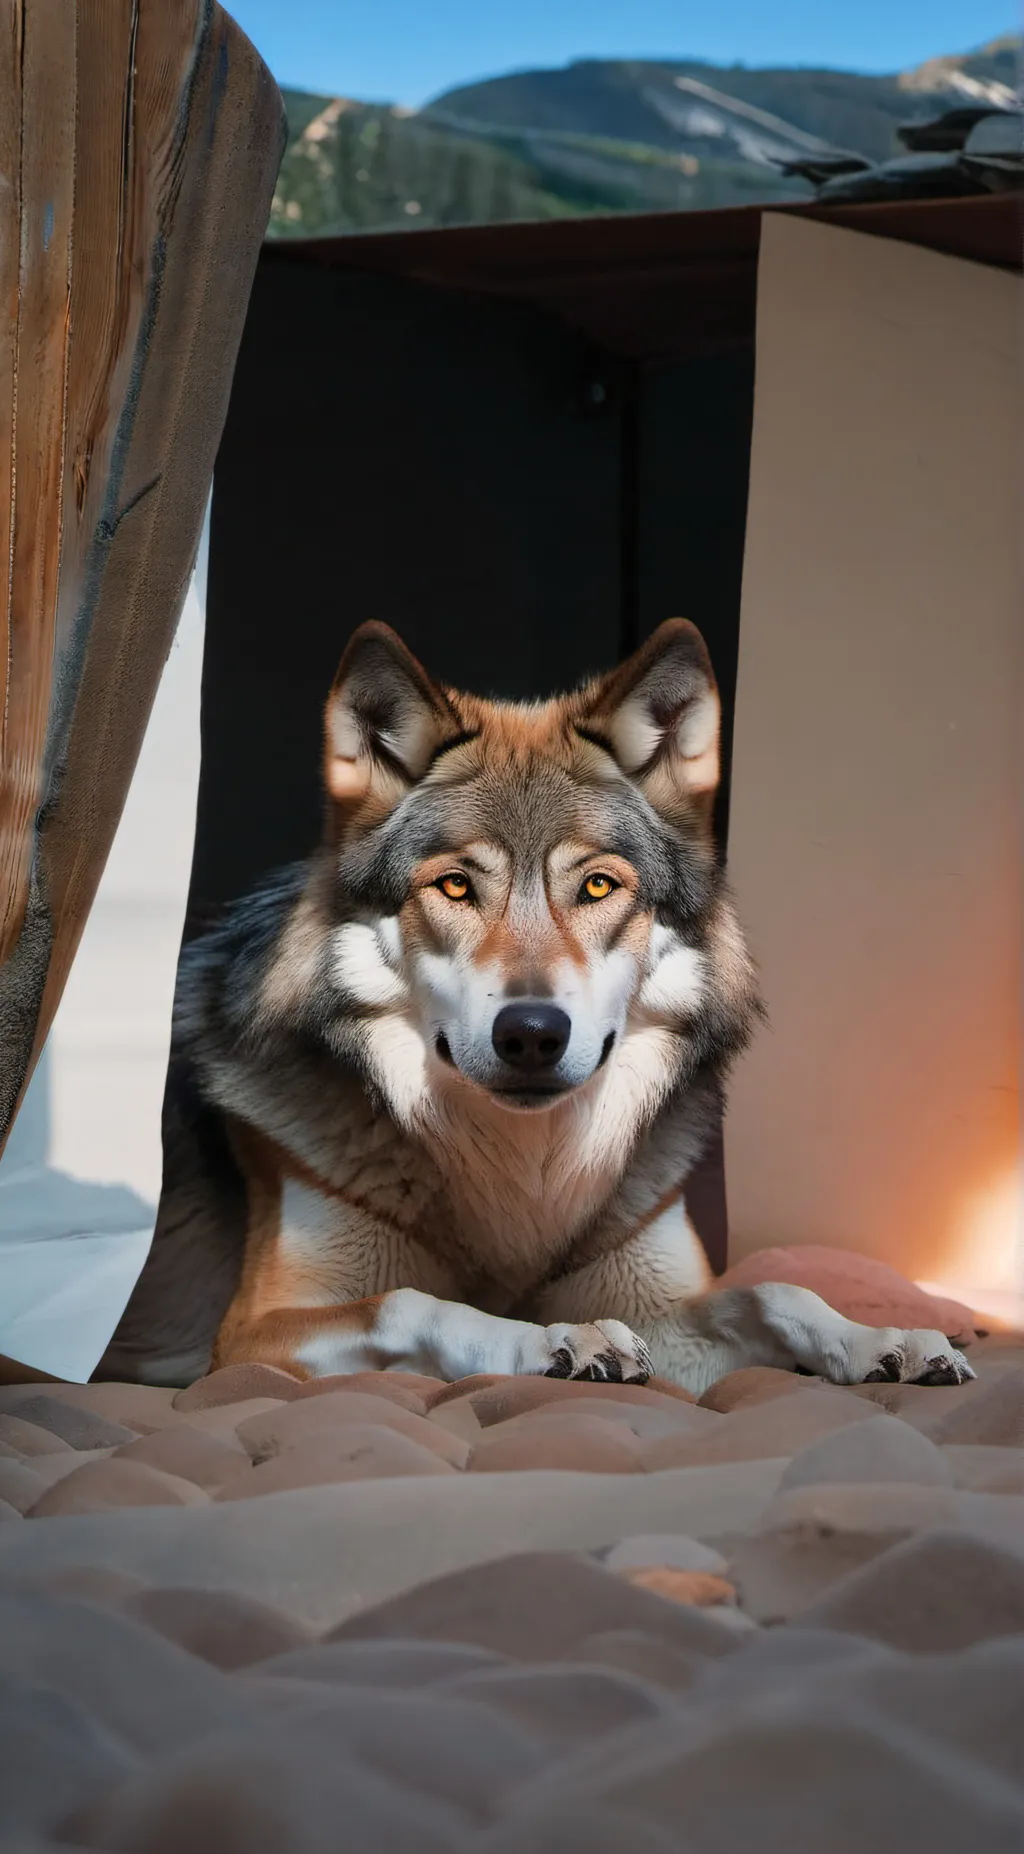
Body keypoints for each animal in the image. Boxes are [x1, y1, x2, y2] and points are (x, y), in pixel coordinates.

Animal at [100, 619, 972, 1397]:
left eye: (597, 885)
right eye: (456, 886)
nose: (530, 1034)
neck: (522, 1189)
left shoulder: (659, 1308)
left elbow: (771, 1291)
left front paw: (885, 1340)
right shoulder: (249, 1339)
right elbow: (419, 1304)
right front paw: (554, 1339)